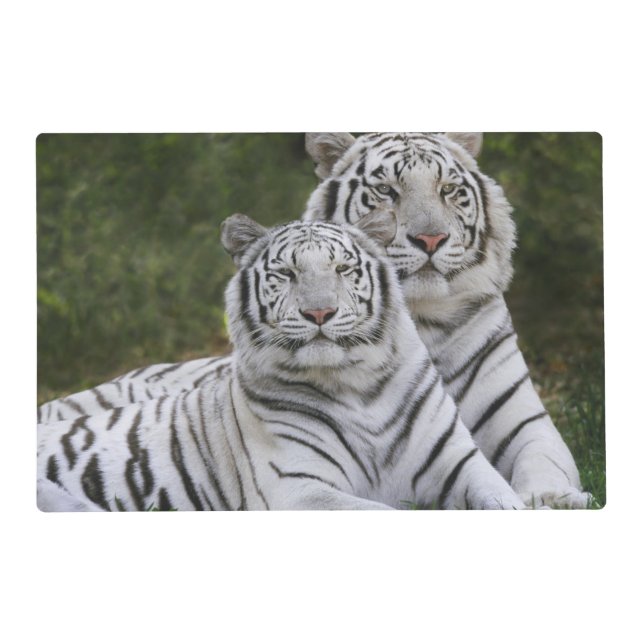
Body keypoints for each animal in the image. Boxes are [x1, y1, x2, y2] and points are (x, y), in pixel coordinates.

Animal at [37, 211, 525, 511]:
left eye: (343, 269)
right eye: (286, 274)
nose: (319, 313)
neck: (359, 387)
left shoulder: (459, 462)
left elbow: (505, 499)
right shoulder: (298, 488)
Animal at [302, 132, 591, 509]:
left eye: (448, 189)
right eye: (386, 191)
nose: (431, 239)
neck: (424, 318)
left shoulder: (525, 420)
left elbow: (544, 460)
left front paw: (553, 498)